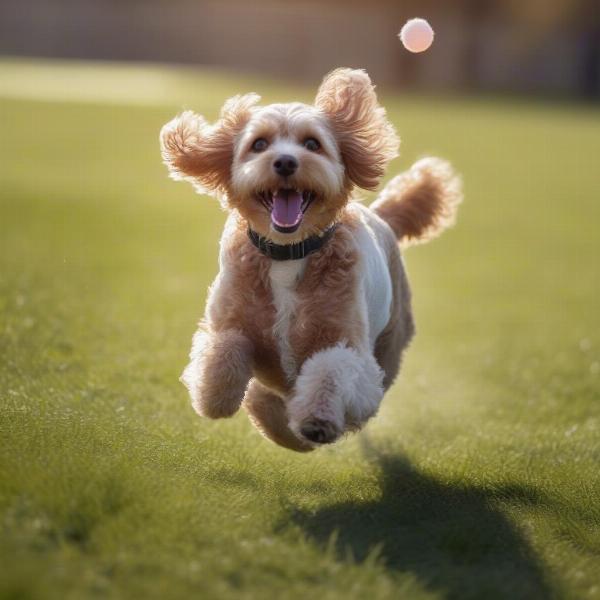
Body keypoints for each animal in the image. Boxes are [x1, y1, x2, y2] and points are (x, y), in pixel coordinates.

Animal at [161, 67, 464, 450]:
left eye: (311, 144)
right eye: (258, 144)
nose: (285, 161)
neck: (288, 252)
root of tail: (381, 216)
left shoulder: (349, 348)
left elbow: (331, 369)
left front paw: (317, 421)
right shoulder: (233, 318)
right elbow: (224, 346)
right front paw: (215, 396)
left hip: (391, 342)